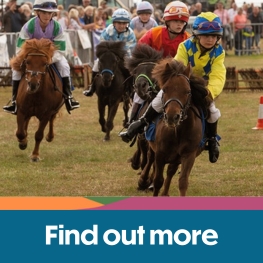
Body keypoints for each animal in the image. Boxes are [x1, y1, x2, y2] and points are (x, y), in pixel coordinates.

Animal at [125, 43, 164, 171]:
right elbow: (144, 152)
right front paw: (138, 164)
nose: (140, 86)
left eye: (153, 71)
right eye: (137, 71)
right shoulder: (143, 136)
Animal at [138, 58, 210, 198]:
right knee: (150, 159)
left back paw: (165, 193)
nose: (172, 116)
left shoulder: (188, 155)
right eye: (165, 90)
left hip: (176, 157)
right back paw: (143, 180)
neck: (178, 132)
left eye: (188, 91)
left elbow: (182, 182)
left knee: (171, 170)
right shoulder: (160, 153)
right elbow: (157, 180)